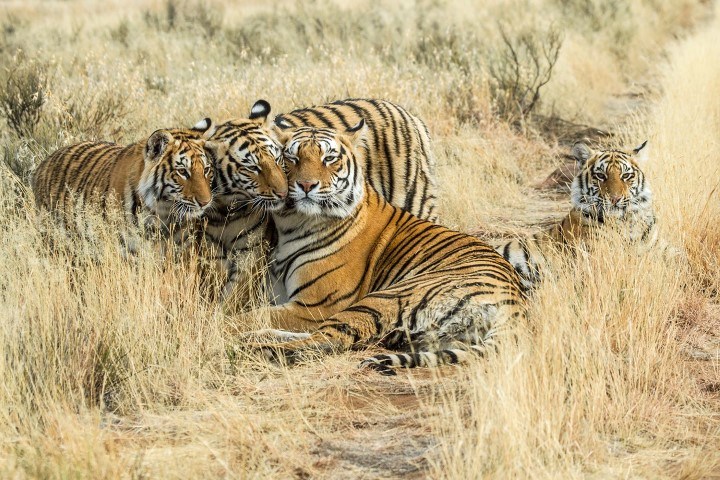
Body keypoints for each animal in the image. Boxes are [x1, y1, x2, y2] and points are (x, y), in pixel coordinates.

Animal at [236, 123, 524, 376]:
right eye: (292, 158)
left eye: (329, 158)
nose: (306, 185)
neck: (292, 224)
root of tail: (516, 302)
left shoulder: (315, 305)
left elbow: (250, 315)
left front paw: (227, 326)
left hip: (383, 298)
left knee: (329, 339)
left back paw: (253, 347)